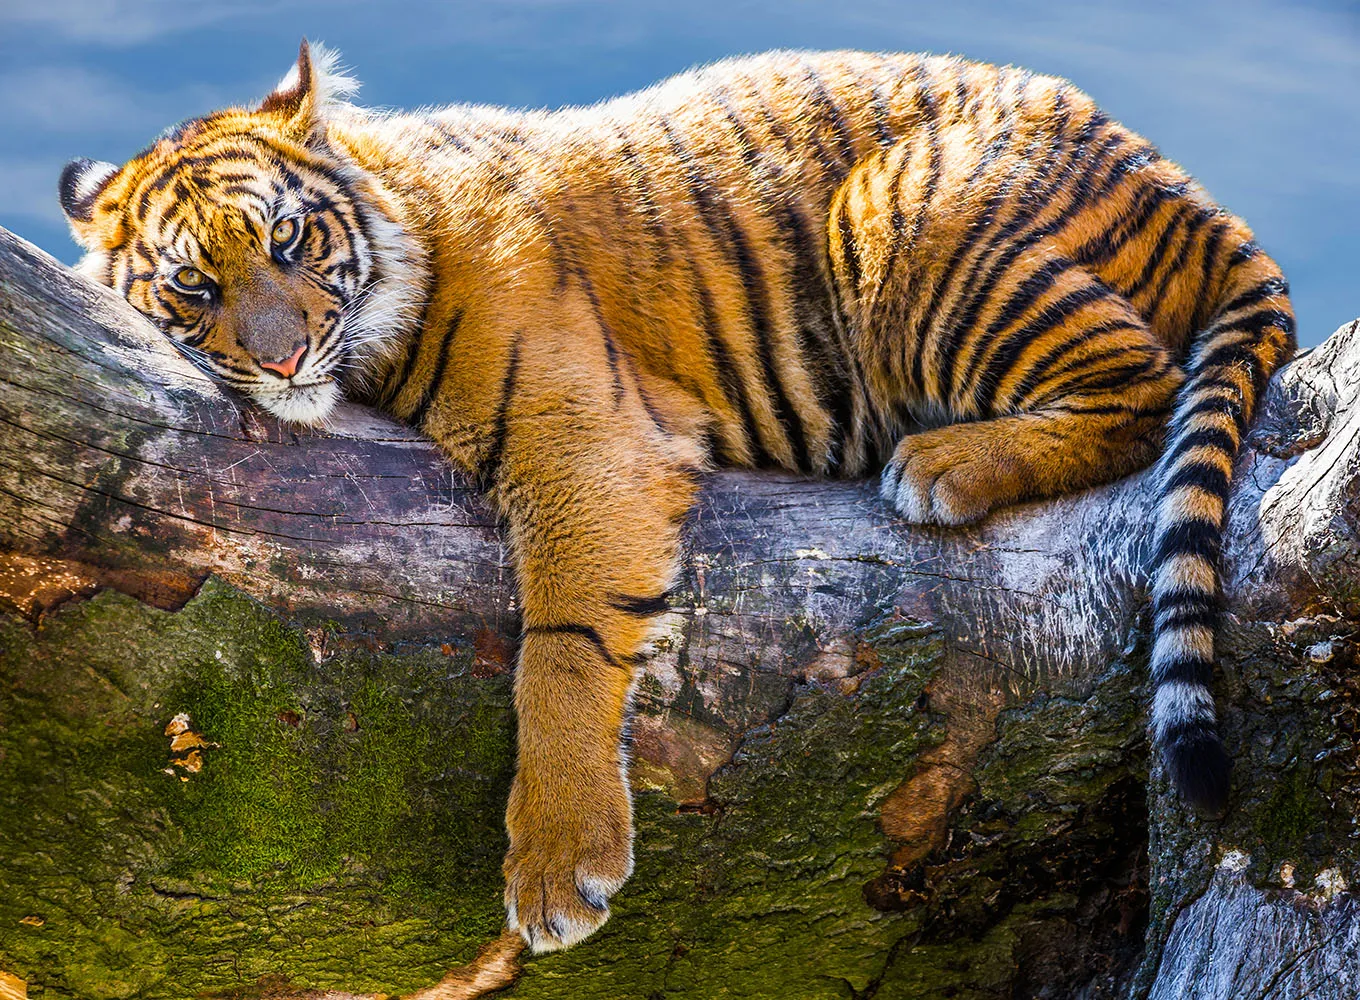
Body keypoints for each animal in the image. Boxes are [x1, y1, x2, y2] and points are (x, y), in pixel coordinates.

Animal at [58, 40, 1296, 952]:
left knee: (1143, 388)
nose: (278, 360)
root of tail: (1182, 187)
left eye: (286, 237)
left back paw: (942, 467)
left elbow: (559, 650)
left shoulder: (582, 437)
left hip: (904, 215)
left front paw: (558, 868)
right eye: (192, 283)